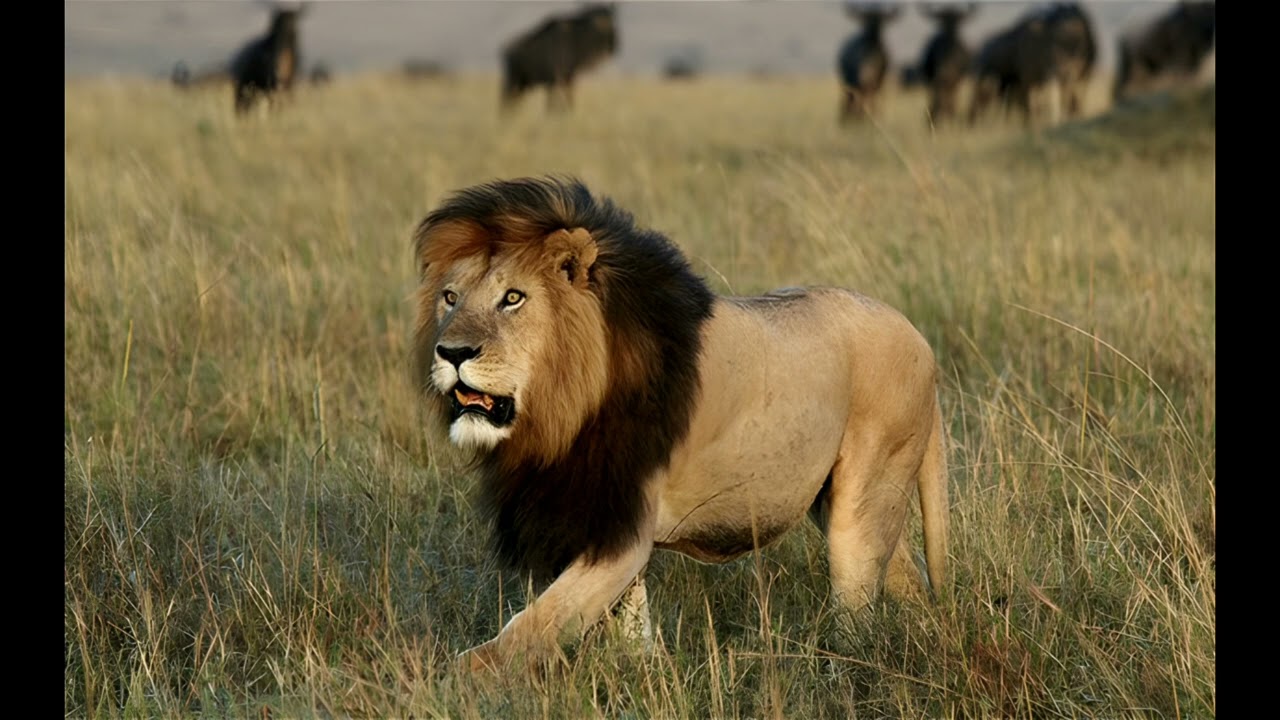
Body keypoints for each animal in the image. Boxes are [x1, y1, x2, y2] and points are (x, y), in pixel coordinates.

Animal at [411, 176, 949, 672]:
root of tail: (919, 338)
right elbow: (628, 627)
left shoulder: (621, 523)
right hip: (840, 497)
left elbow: (529, 628)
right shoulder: (597, 517)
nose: (451, 353)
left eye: (513, 298)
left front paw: (445, 679)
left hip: (865, 496)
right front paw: (641, 670)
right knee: (908, 582)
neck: (559, 416)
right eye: (450, 298)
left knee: (857, 602)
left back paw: (847, 667)